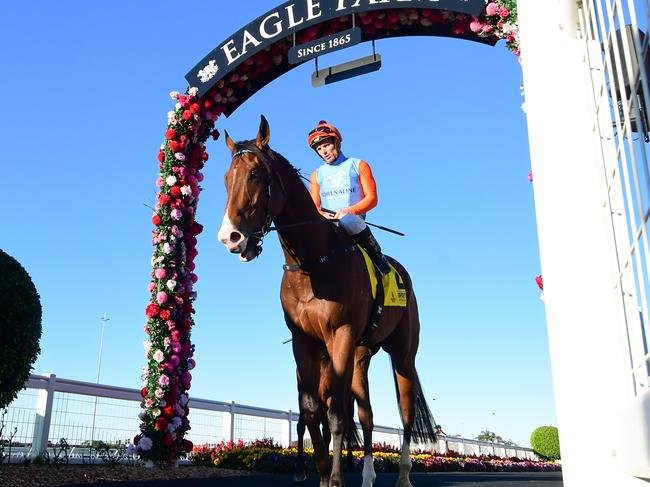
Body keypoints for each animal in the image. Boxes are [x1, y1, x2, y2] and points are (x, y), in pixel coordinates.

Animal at [215, 116, 432, 486]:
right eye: (227, 178)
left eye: (255, 174)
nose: (230, 237)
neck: (312, 262)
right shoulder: (304, 341)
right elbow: (313, 411)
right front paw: (321, 474)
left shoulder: (340, 335)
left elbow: (335, 416)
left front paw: (335, 479)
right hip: (360, 356)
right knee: (367, 414)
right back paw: (368, 475)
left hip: (402, 353)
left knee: (404, 411)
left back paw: (403, 475)